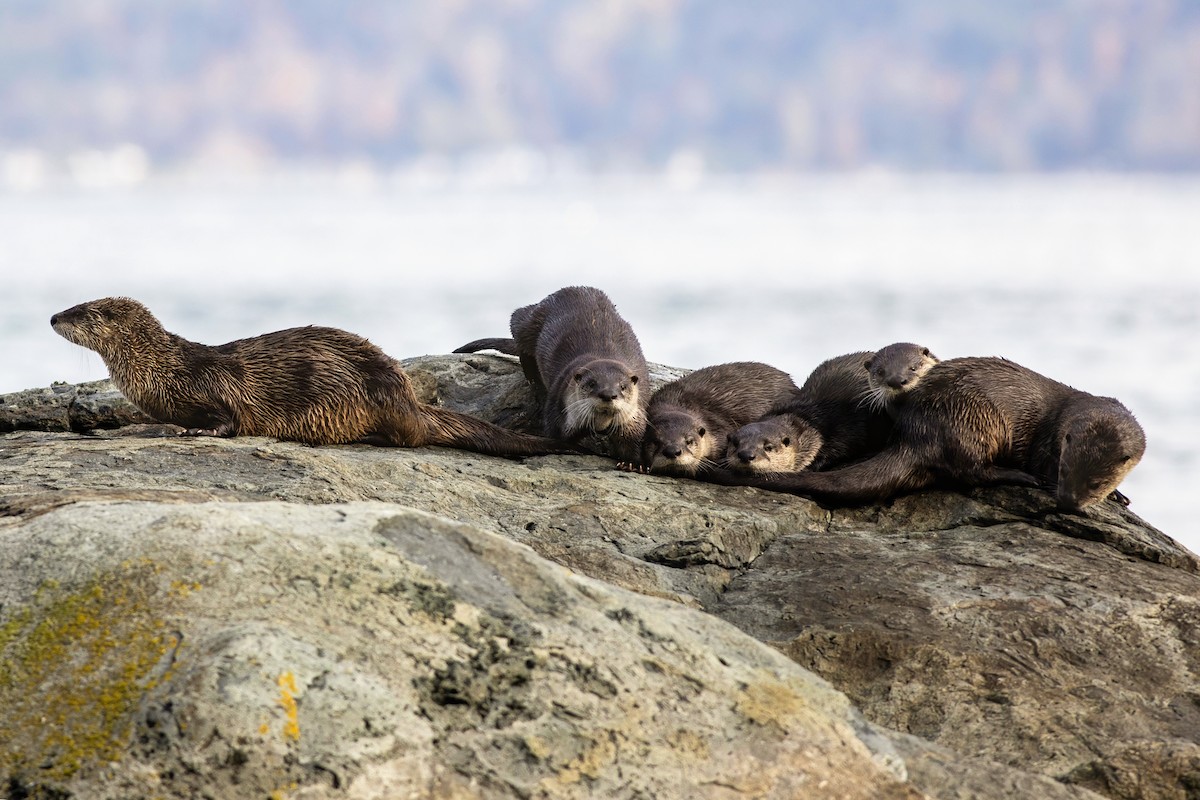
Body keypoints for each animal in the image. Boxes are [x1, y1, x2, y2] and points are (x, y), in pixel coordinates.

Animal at [51, 297, 571, 457]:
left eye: (81, 312)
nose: (54, 316)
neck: (161, 369)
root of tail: (407, 397)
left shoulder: (212, 384)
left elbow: (228, 419)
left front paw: (196, 431)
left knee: (411, 437)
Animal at [455, 286, 649, 461]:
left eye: (623, 387)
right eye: (591, 384)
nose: (608, 394)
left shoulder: (636, 415)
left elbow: (632, 440)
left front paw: (632, 463)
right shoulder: (558, 405)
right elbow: (557, 435)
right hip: (529, 322)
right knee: (518, 323)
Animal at [707, 356, 1146, 511]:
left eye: (1097, 481)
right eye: (1065, 470)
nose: (1069, 504)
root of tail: (918, 433)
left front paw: (1120, 495)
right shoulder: (1046, 444)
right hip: (978, 420)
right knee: (969, 471)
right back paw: (1015, 475)